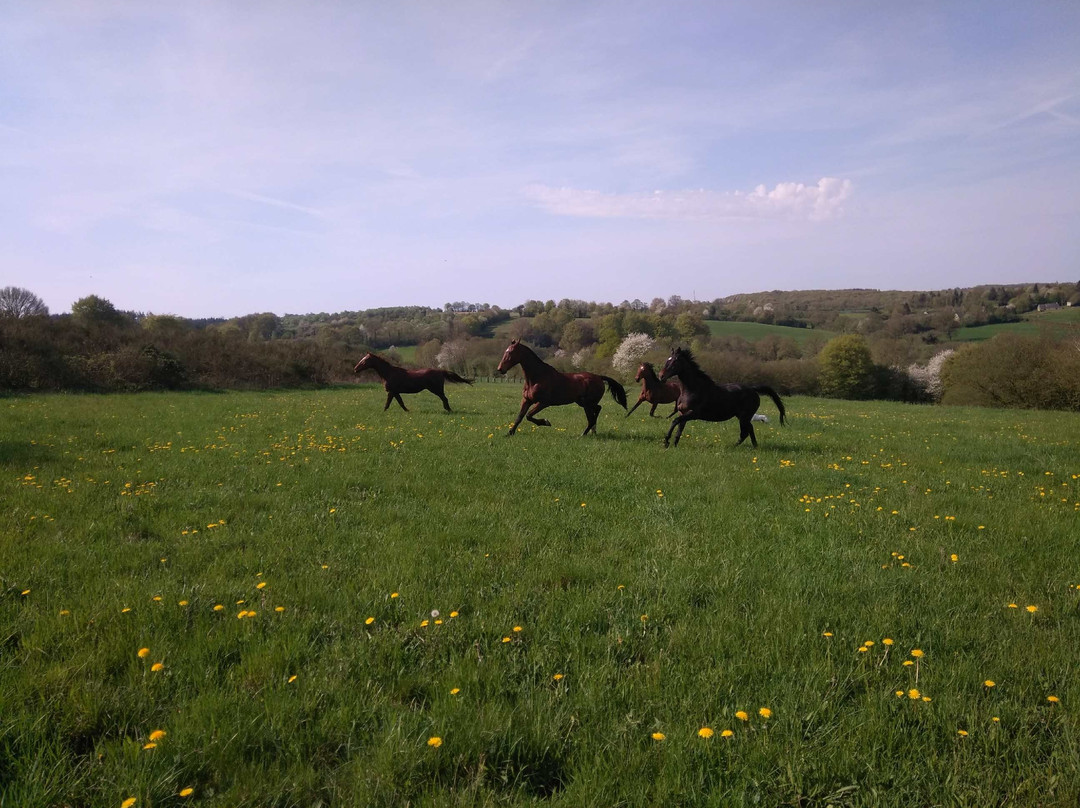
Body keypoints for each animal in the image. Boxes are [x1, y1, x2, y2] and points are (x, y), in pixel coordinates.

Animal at [494, 339, 630, 436]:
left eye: (510, 352)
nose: (500, 369)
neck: (537, 378)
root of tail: (598, 377)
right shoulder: (526, 400)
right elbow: (520, 417)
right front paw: (509, 433)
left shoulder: (543, 403)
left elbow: (528, 415)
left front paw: (546, 422)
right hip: (583, 402)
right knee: (597, 410)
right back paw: (593, 431)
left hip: (586, 403)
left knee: (592, 417)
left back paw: (583, 434)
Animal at [656, 345, 786, 447]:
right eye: (667, 360)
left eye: (675, 361)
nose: (661, 376)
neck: (692, 389)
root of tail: (753, 389)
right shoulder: (682, 413)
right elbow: (679, 429)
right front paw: (673, 444)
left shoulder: (693, 413)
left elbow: (675, 421)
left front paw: (666, 442)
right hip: (742, 416)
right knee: (749, 430)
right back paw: (753, 446)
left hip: (744, 416)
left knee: (745, 432)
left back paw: (734, 446)